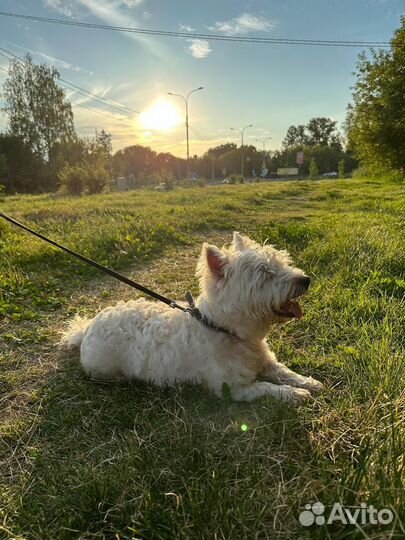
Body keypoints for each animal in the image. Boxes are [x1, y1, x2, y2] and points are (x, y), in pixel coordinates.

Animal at [61, 230, 322, 402]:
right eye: (265, 274)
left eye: (282, 263)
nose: (305, 280)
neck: (225, 329)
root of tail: (89, 327)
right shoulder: (234, 389)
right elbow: (267, 387)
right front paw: (295, 393)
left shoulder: (267, 362)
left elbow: (284, 371)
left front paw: (308, 382)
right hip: (104, 367)